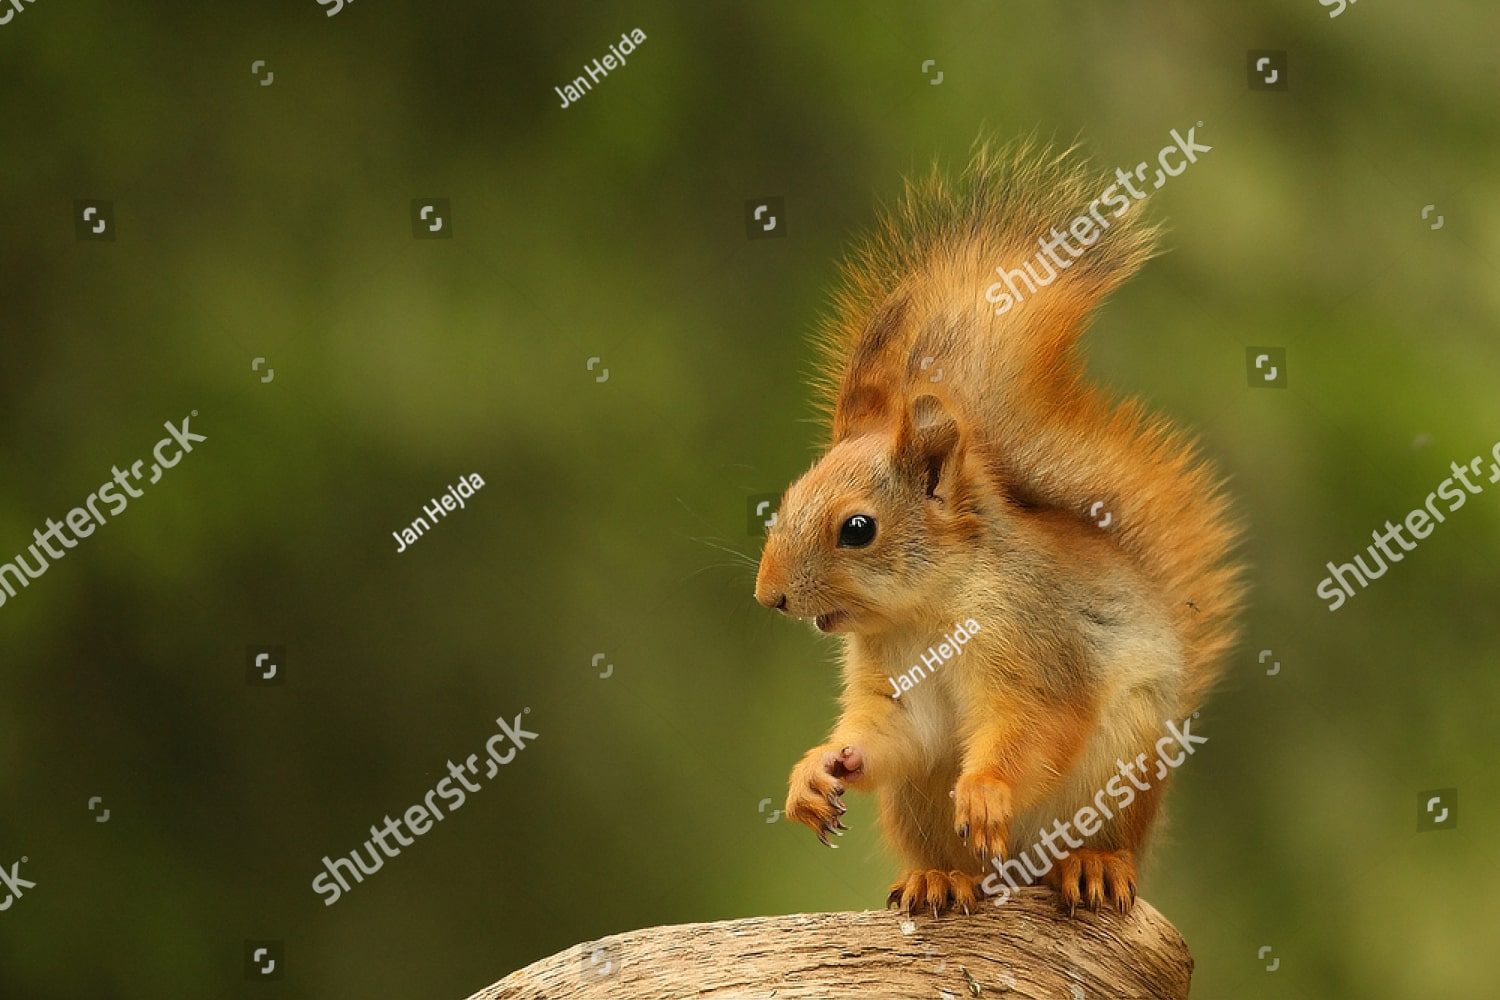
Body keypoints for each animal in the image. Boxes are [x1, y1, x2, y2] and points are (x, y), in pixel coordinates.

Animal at [754, 137, 1243, 916]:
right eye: (792, 492)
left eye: (857, 528)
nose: (768, 595)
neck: (930, 608)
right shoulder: (894, 680)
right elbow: (894, 732)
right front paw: (817, 770)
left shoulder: (1037, 644)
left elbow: (1038, 726)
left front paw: (987, 790)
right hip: (918, 806)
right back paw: (938, 878)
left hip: (1125, 766)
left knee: (1098, 844)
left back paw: (1093, 866)